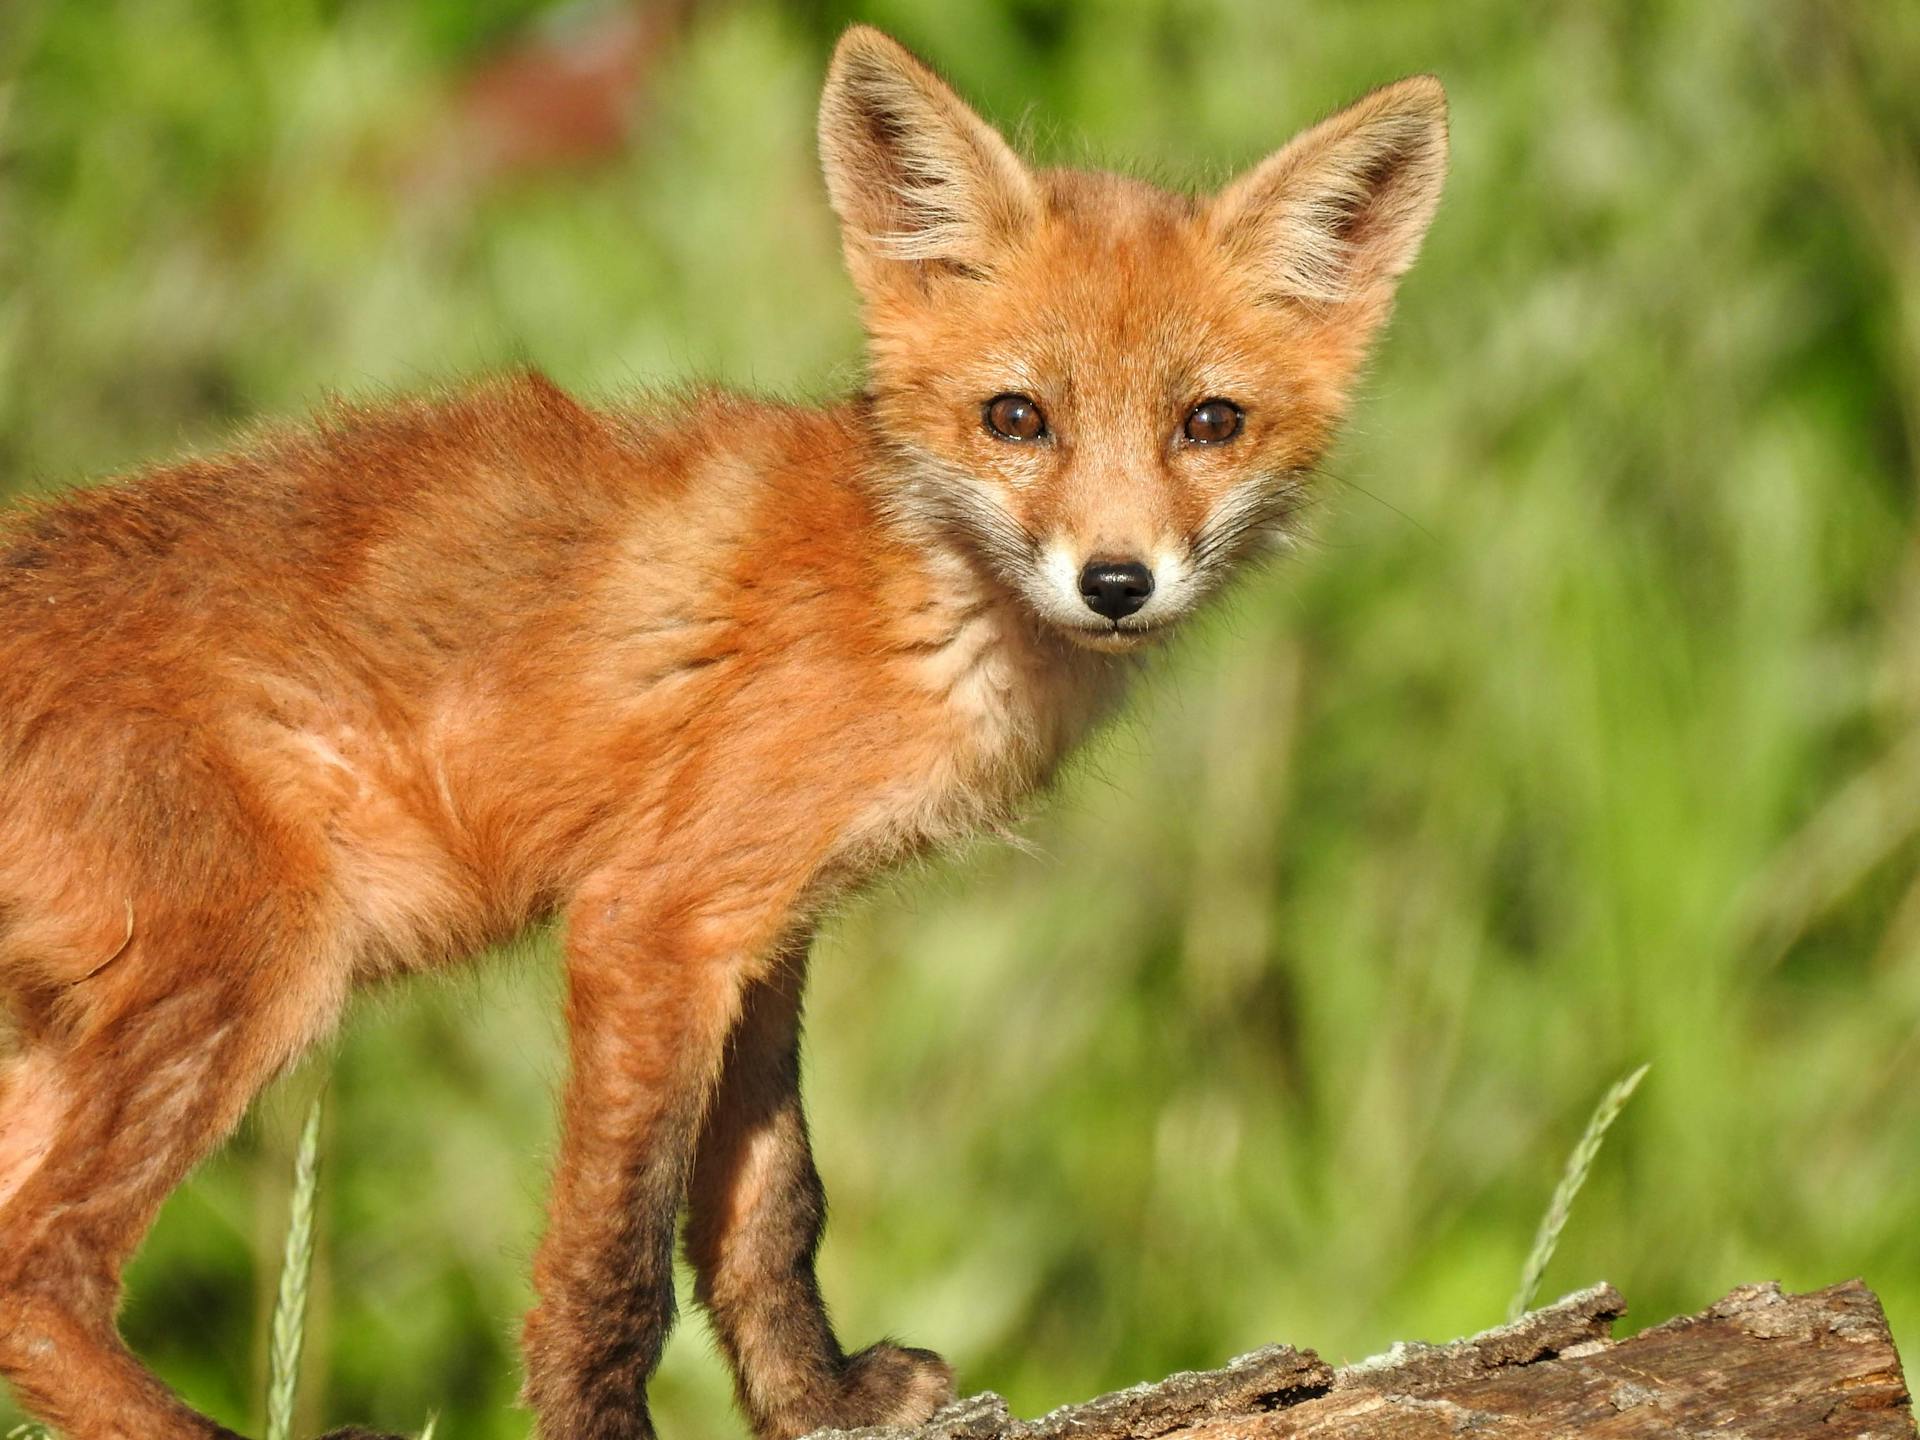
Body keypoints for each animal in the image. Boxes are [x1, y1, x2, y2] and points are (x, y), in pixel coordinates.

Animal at [0, 19, 1443, 1440]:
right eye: (1018, 419)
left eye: (1210, 423)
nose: (1117, 582)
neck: (910, 600)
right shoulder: (649, 923)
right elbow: (619, 1263)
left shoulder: (764, 930)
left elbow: (771, 1209)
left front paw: (823, 1400)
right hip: (257, 972)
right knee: (39, 1272)